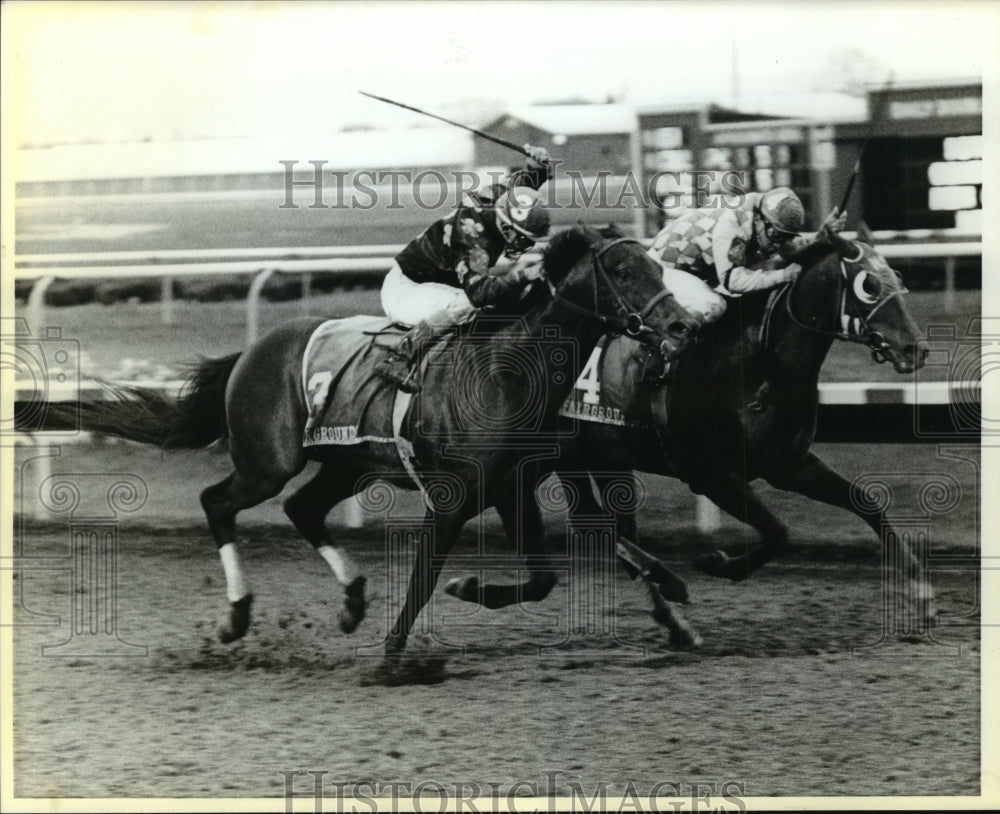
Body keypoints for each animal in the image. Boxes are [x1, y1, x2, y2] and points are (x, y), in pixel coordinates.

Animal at [27, 226, 700, 668]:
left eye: (657, 268)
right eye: (624, 272)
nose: (683, 326)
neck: (508, 366)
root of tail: (248, 353)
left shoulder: (516, 483)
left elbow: (546, 574)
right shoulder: (453, 495)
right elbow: (426, 575)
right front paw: (393, 653)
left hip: (345, 464)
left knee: (301, 508)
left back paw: (351, 600)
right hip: (269, 460)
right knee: (219, 501)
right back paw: (238, 615)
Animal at [444, 223, 928, 636]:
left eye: (899, 276)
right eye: (869, 285)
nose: (915, 348)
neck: (757, 362)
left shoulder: (789, 463)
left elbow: (867, 504)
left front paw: (922, 592)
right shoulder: (710, 473)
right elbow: (778, 531)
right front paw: (719, 563)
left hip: (601, 456)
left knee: (613, 528)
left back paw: (668, 613)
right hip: (564, 456)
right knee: (593, 525)